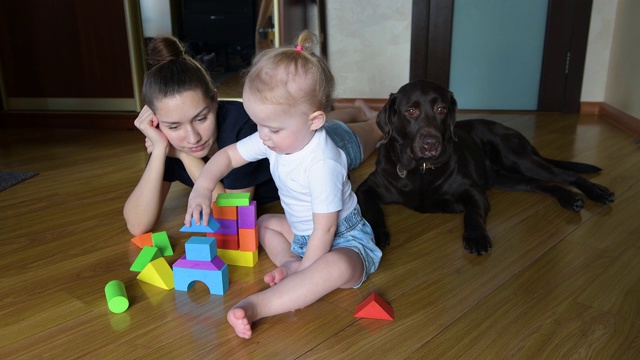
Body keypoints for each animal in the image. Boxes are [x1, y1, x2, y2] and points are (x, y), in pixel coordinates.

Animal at [358, 80, 612, 255]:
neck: (420, 169)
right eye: (410, 111)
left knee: (567, 174)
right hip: (506, 178)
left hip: (520, 159)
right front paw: (376, 235)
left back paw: (597, 192)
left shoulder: (474, 192)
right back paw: (569, 198)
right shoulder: (366, 189)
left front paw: (476, 237)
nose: (431, 144)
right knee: (542, 184)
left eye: (441, 110)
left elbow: (473, 214)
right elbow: (372, 211)